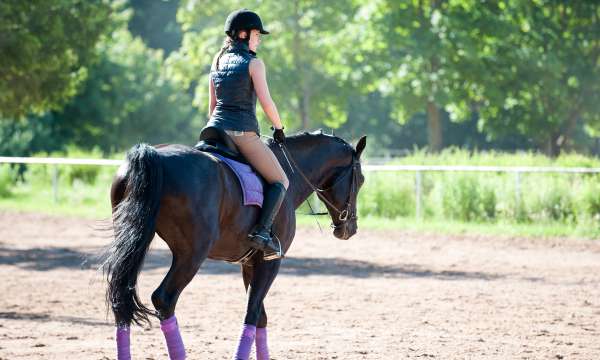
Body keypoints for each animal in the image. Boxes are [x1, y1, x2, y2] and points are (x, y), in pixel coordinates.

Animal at [101, 130, 368, 360]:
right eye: (362, 180)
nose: (350, 228)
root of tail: (155, 154)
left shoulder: (249, 263)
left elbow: (261, 317)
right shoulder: (270, 262)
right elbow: (252, 312)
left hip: (133, 242)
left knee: (120, 295)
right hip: (191, 255)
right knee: (164, 299)